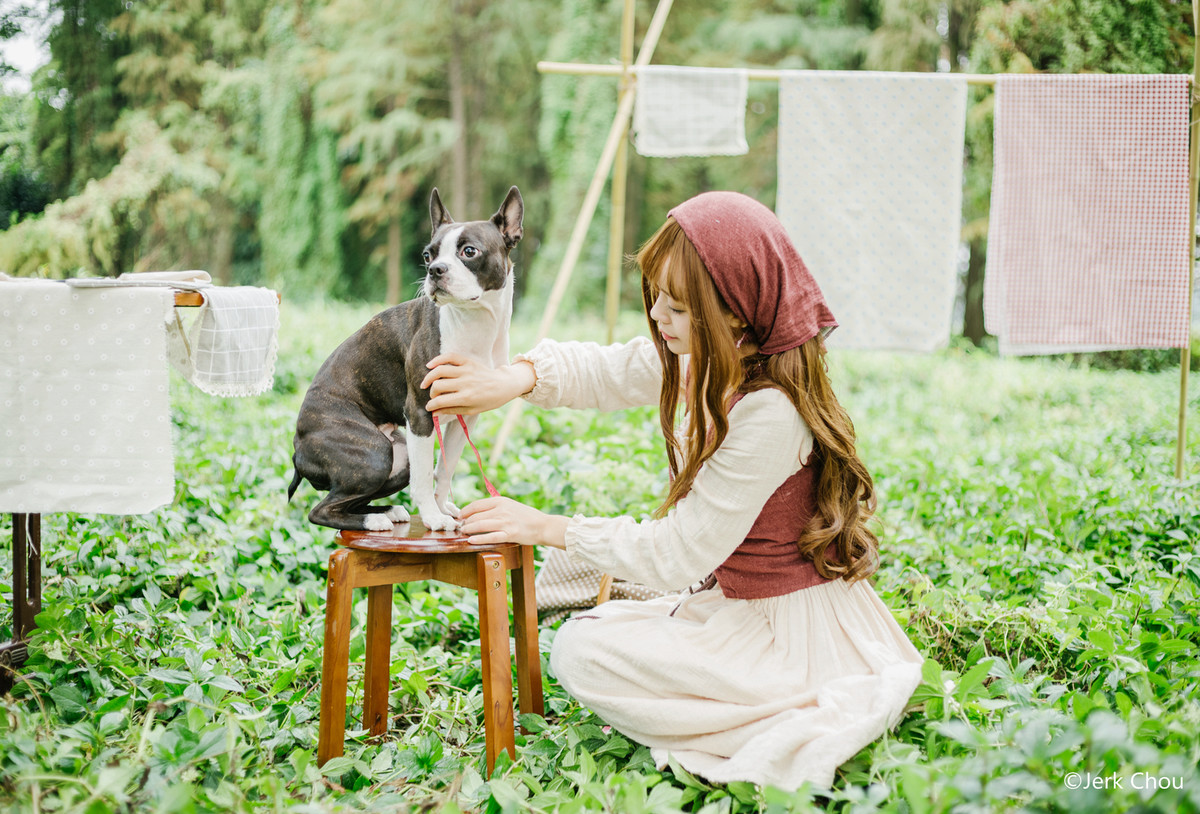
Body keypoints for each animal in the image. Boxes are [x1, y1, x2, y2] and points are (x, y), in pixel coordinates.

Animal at [288, 188, 523, 537]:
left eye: (469, 251)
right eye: (428, 255)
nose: (435, 269)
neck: (474, 323)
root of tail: (297, 447)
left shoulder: (465, 416)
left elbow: (445, 470)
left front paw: (442, 508)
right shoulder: (420, 414)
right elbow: (425, 476)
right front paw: (433, 518)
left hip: (398, 456)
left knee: (349, 498)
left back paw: (387, 511)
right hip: (374, 454)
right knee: (321, 510)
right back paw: (374, 520)